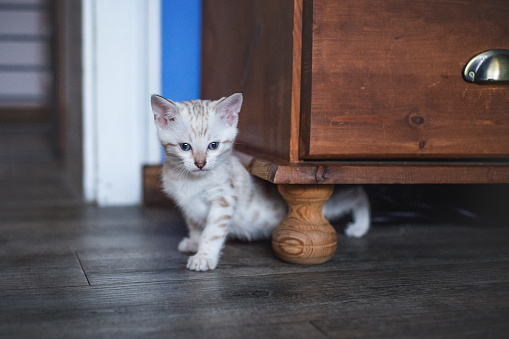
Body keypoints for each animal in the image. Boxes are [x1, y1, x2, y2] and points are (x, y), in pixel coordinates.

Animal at [151, 94, 370, 272]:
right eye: (185, 147)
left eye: (213, 146)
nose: (200, 163)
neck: (190, 181)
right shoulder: (188, 206)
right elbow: (196, 226)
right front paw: (194, 243)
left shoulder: (223, 200)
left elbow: (211, 233)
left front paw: (204, 257)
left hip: (328, 208)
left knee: (357, 194)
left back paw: (360, 226)